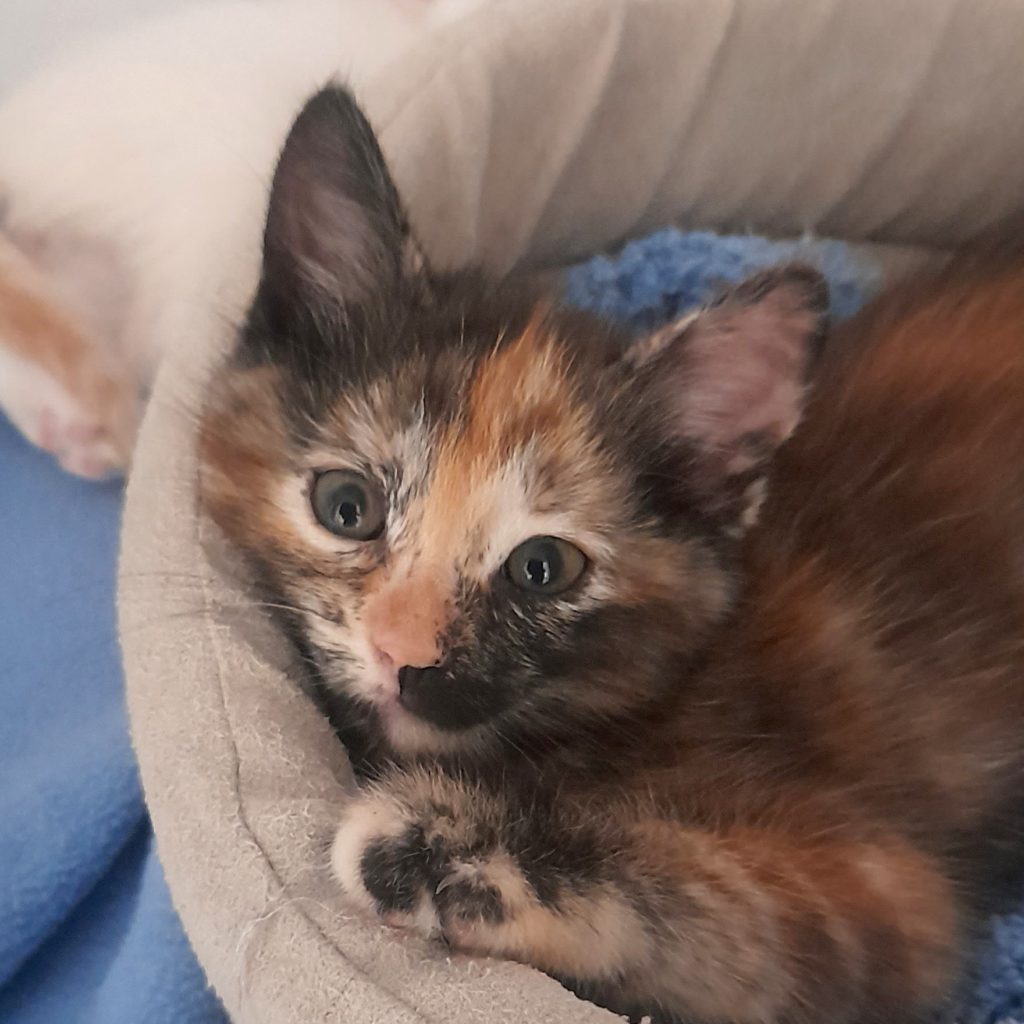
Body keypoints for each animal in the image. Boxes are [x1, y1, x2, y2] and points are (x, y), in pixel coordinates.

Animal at [198, 85, 1024, 1024]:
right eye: (348, 507)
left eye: (542, 568)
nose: (401, 655)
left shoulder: (888, 891)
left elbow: (729, 908)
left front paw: (442, 842)